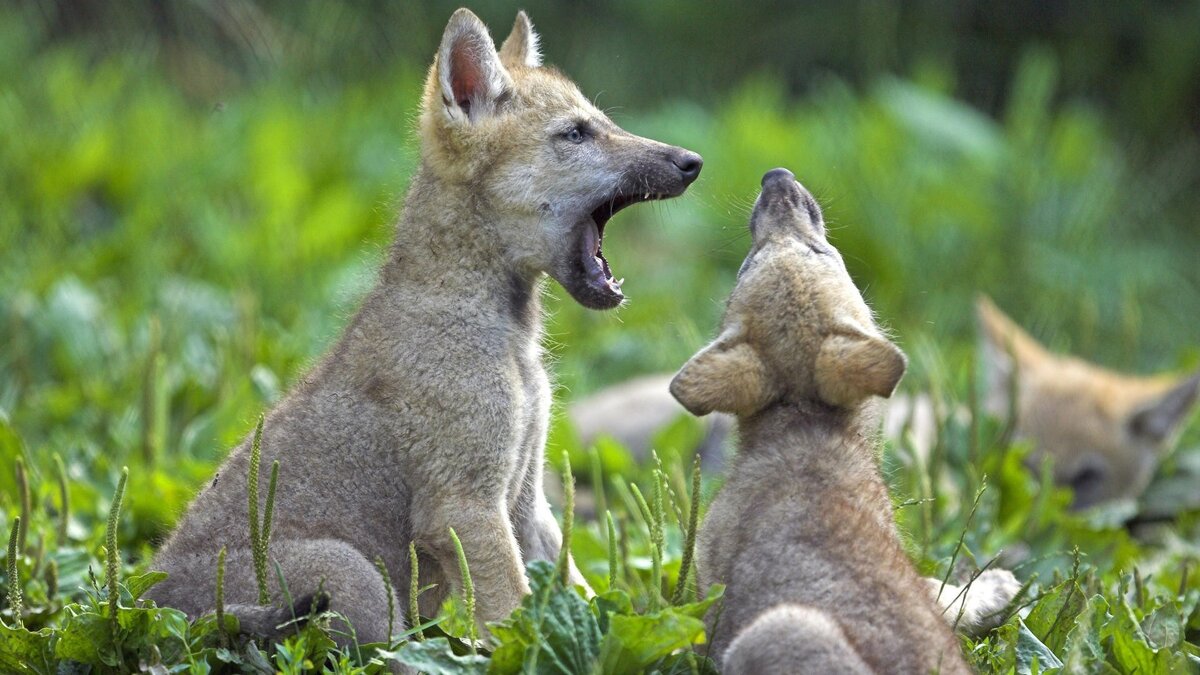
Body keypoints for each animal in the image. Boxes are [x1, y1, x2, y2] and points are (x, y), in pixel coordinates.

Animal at [147, 6, 700, 648]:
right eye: (575, 134)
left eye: (603, 122)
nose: (692, 162)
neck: (509, 340)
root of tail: (153, 609)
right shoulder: (464, 505)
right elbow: (516, 615)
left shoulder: (526, 502)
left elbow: (578, 596)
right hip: (357, 580)